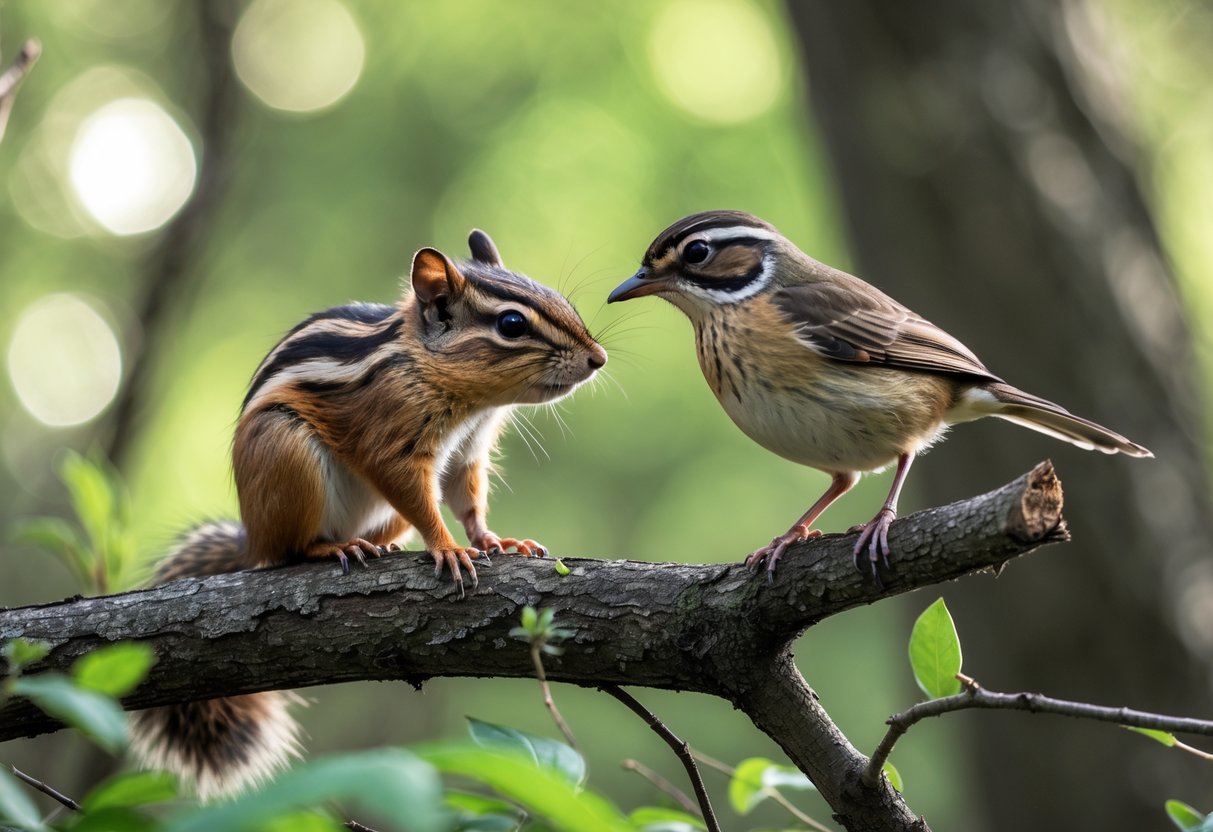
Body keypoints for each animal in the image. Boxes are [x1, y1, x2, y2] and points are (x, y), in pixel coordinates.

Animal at [130, 229, 607, 800]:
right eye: (512, 324)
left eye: (561, 300)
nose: (600, 358)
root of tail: (252, 540)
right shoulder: (393, 442)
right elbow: (418, 496)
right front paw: (448, 548)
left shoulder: (468, 450)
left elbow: (466, 497)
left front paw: (495, 540)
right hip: (287, 454)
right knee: (289, 552)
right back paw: (333, 546)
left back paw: (379, 544)